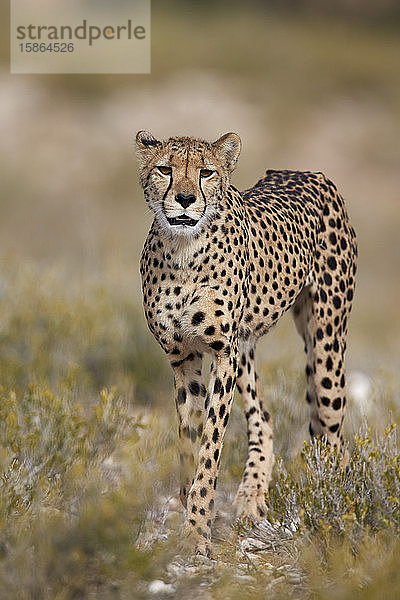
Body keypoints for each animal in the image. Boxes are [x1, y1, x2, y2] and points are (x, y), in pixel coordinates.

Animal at [137, 129, 356, 556]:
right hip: (247, 348)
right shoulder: (183, 356)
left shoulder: (223, 353)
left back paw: (333, 509)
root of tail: (305, 172)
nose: (184, 199)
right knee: (265, 420)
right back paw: (251, 497)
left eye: (206, 172)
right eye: (165, 169)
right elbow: (189, 439)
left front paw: (197, 531)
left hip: (326, 345)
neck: (183, 250)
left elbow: (210, 447)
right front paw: (189, 509)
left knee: (333, 435)